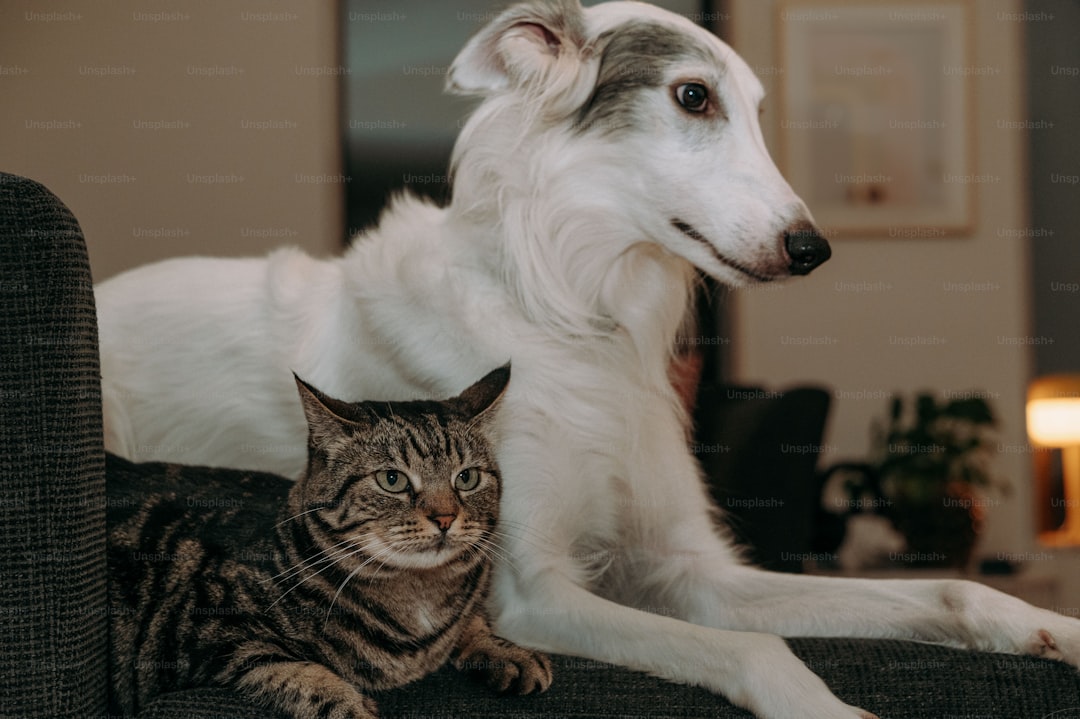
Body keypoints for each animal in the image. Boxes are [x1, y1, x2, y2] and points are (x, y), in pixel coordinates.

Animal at [107, 367, 548, 712]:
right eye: (392, 480)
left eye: (467, 478)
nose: (445, 517)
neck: (418, 597)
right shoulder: (203, 634)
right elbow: (298, 672)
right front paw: (350, 705)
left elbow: (472, 622)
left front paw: (508, 651)